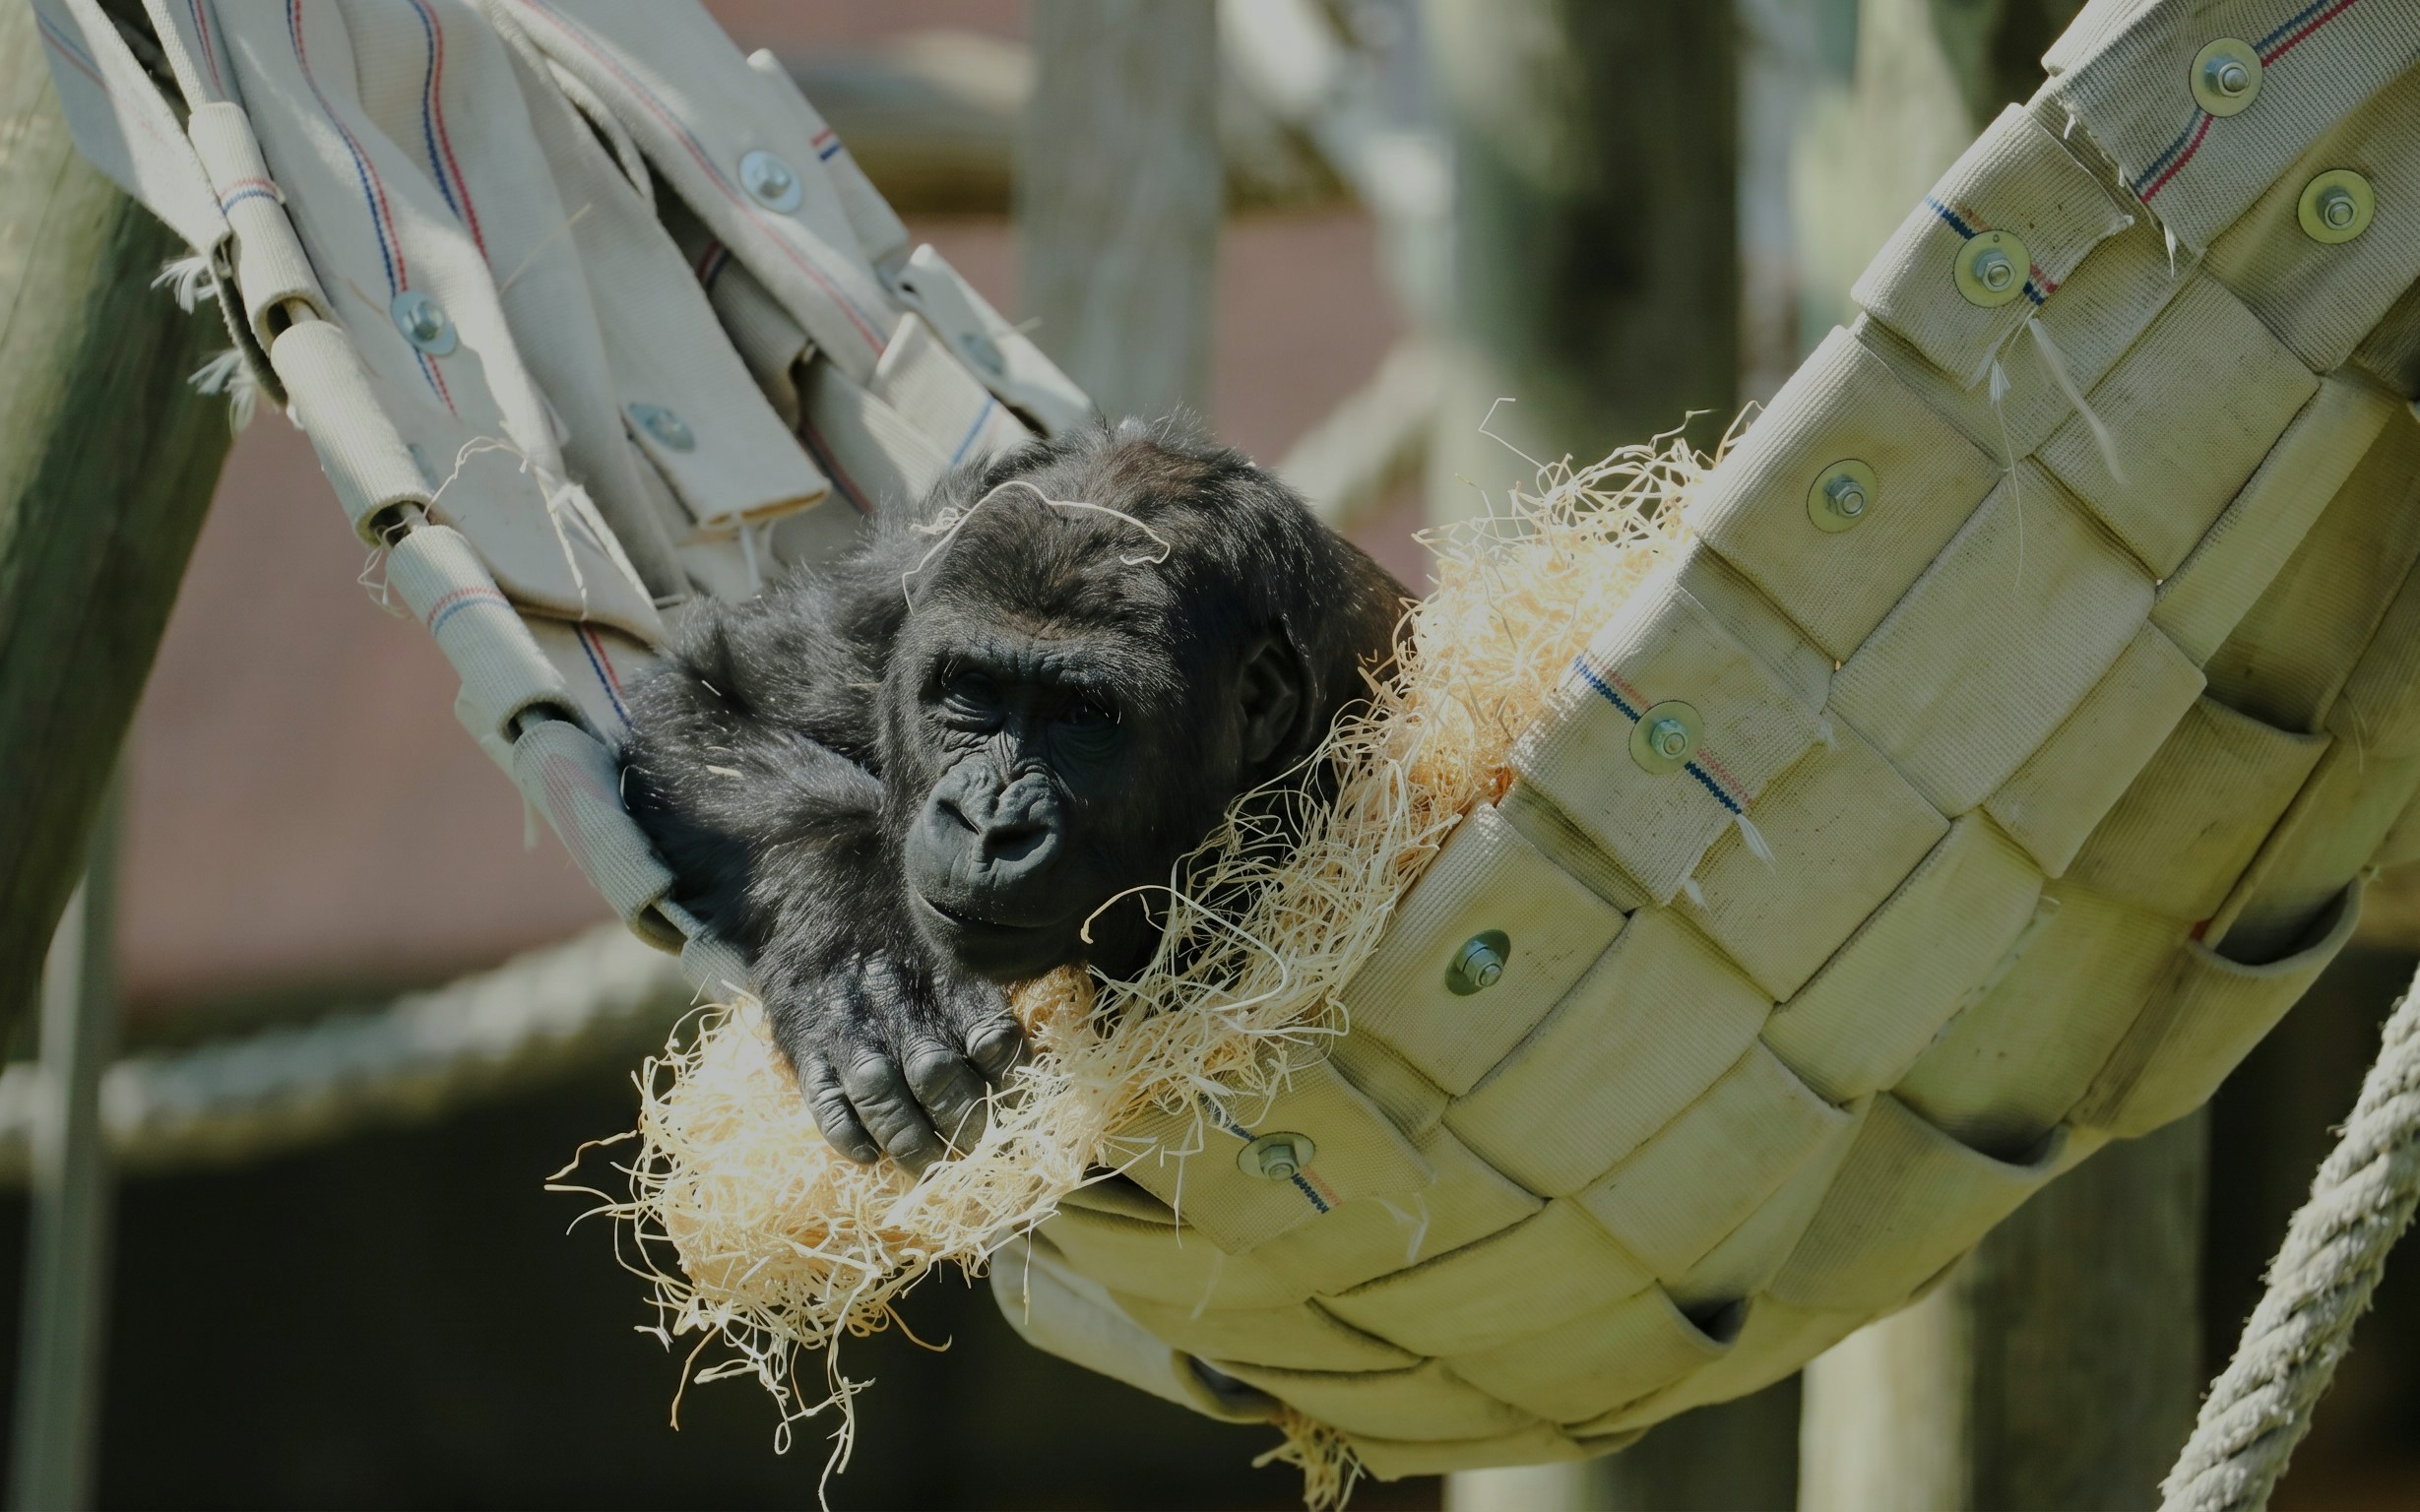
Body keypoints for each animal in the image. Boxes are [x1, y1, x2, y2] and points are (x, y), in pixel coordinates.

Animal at [620, 419, 1406, 1173]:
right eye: (972, 688)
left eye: (1087, 714)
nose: (989, 823)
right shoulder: (890, 591)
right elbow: (710, 699)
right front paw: (866, 963)